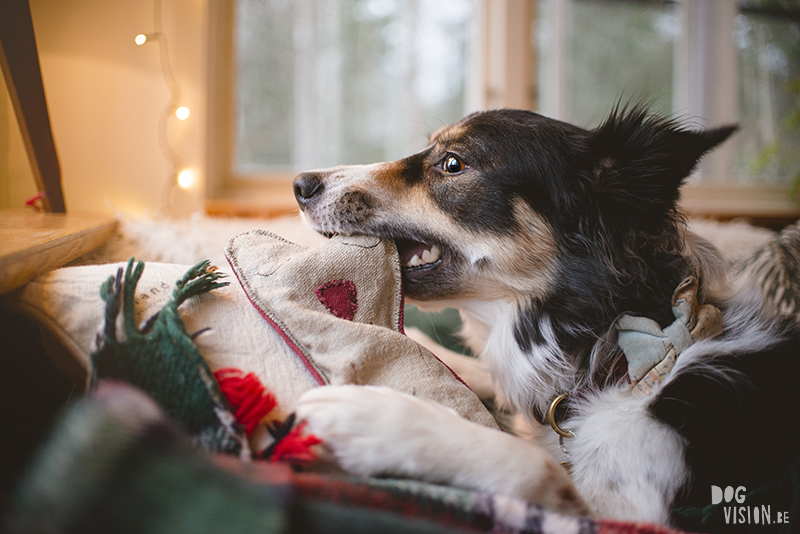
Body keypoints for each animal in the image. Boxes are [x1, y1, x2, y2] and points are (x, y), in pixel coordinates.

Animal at [292, 107, 800, 528]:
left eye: (453, 164)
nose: (300, 184)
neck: (615, 357)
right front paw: (429, 347)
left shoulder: (633, 513)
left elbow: (533, 463)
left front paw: (376, 417)